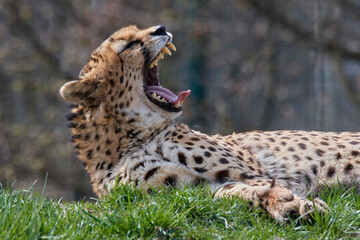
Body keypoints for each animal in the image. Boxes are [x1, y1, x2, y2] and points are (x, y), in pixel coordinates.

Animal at [60, 25, 358, 222]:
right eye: (129, 45)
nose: (161, 28)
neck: (133, 136)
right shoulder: (185, 192)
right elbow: (230, 193)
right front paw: (289, 206)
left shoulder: (252, 173)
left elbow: (265, 185)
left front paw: (293, 205)